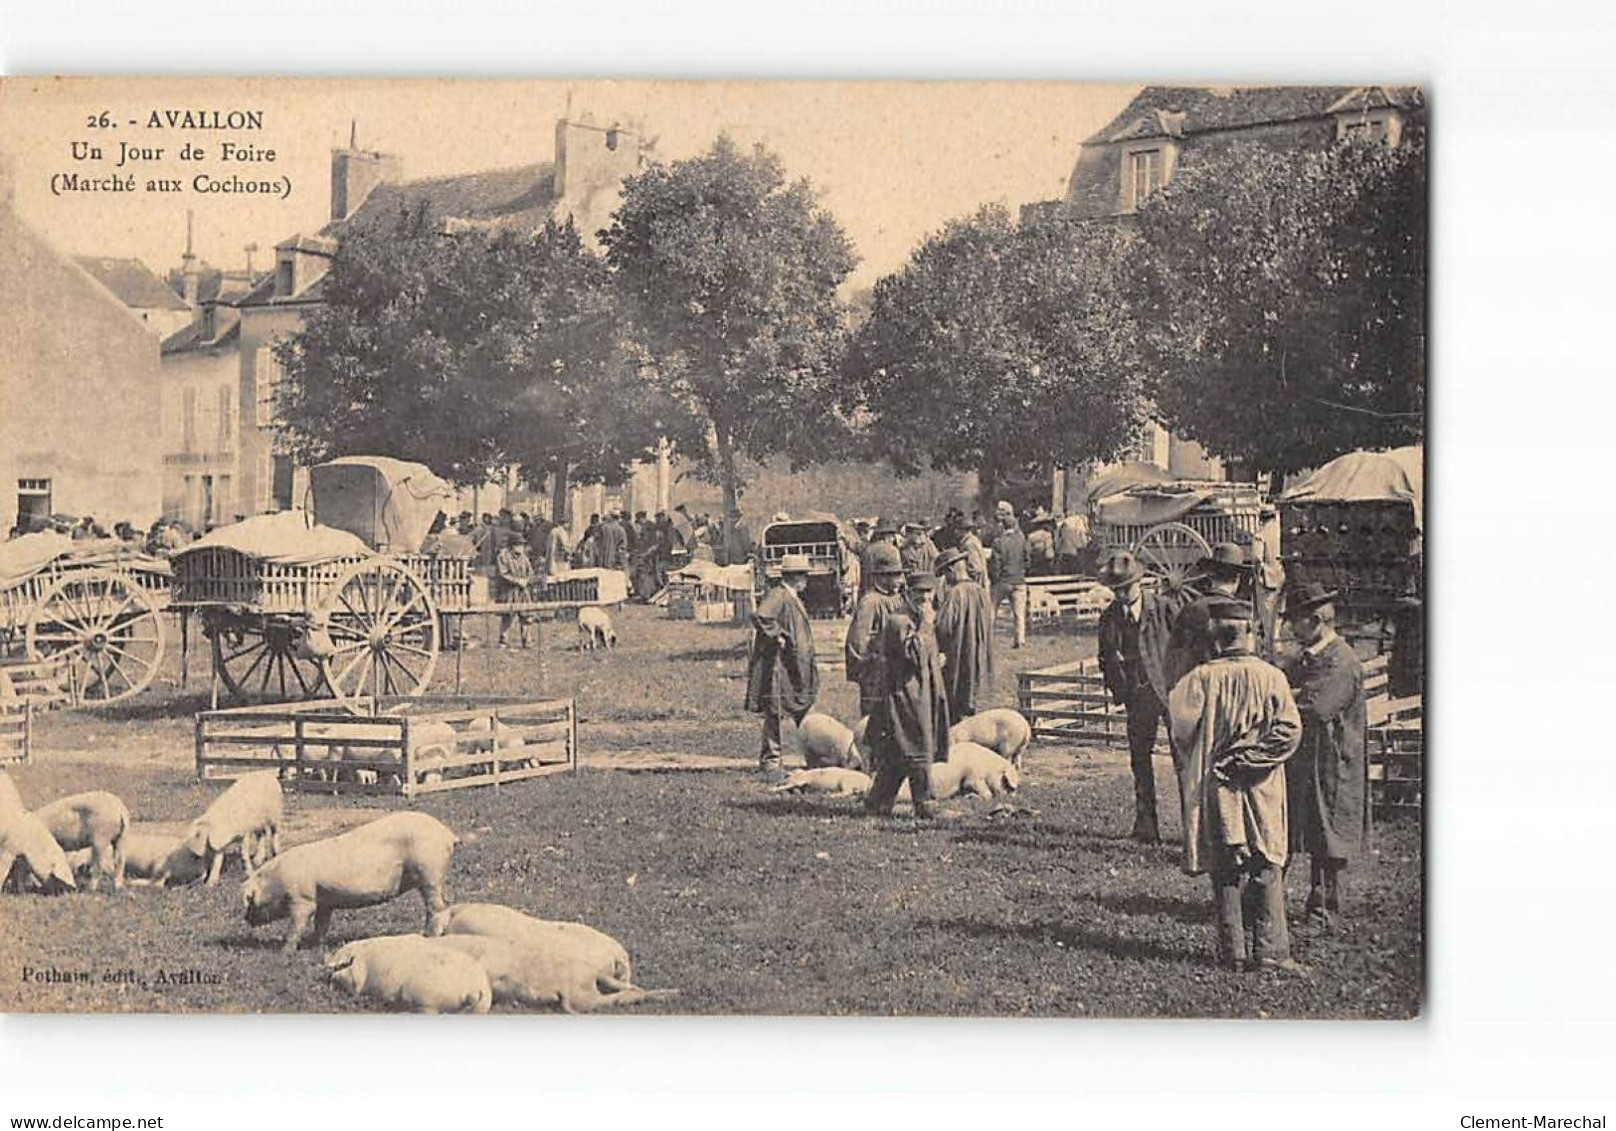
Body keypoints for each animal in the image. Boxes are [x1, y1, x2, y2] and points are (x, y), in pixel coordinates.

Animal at [244, 814, 462, 956]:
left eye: (249, 901)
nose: (246, 920)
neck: (276, 881)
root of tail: (447, 834)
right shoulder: (325, 902)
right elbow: (321, 925)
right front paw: (315, 946)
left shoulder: (302, 900)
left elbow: (296, 926)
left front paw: (284, 952)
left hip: (429, 873)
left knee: (437, 907)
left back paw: (429, 936)